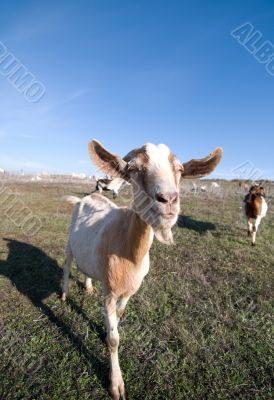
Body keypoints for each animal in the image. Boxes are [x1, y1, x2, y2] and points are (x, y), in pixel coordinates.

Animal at [62, 139, 223, 398]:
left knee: (86, 269)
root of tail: (83, 199)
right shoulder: (110, 292)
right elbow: (114, 340)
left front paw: (107, 328)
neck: (130, 251)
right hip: (69, 242)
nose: (168, 199)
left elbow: (118, 317)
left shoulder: (129, 291)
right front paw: (116, 385)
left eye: (180, 170)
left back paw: (87, 287)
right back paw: (65, 294)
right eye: (134, 169)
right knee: (67, 264)